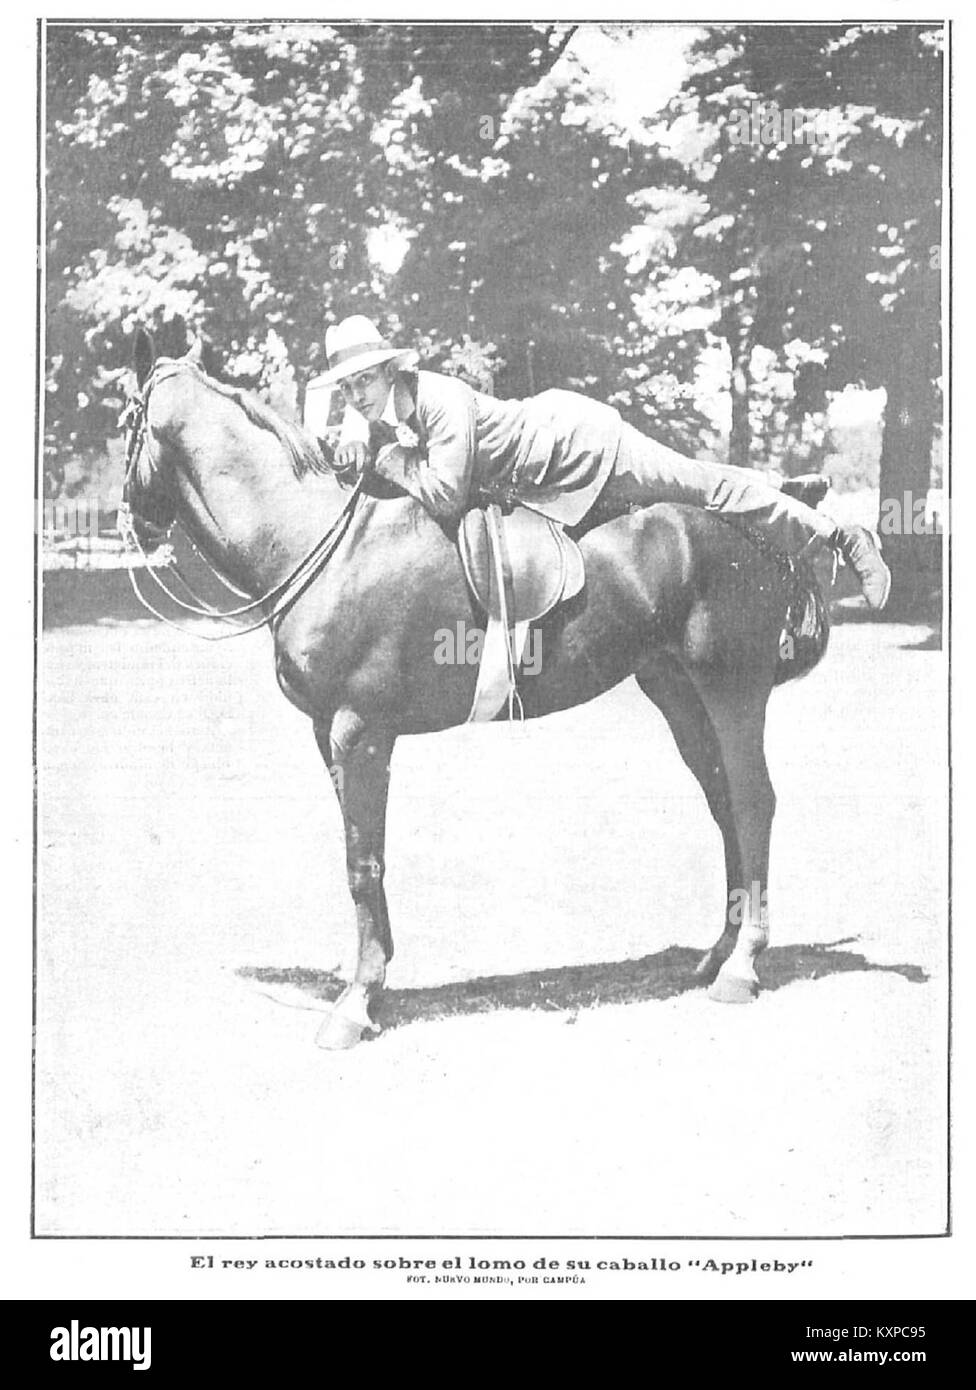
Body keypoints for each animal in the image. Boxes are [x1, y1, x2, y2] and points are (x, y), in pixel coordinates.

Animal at [121, 331, 829, 1049]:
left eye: (125, 423)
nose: (137, 526)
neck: (317, 540)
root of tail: (771, 528)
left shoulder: (360, 730)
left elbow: (363, 862)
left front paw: (356, 1001)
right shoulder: (329, 734)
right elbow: (361, 855)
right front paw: (368, 975)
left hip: (732, 688)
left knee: (753, 803)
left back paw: (741, 965)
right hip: (678, 693)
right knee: (724, 805)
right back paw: (717, 951)